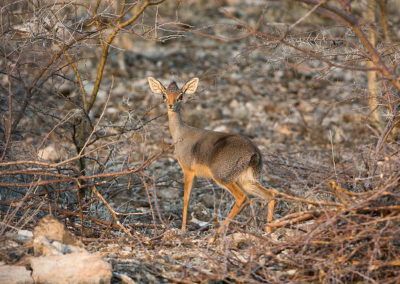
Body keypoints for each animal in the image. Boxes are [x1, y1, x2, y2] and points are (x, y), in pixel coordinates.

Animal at [148, 77, 276, 237]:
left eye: (181, 96)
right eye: (164, 95)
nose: (171, 106)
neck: (181, 134)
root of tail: (254, 152)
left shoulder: (187, 170)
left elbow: (186, 198)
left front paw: (182, 229)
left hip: (223, 177)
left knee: (242, 197)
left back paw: (216, 234)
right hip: (247, 181)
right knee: (271, 194)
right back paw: (268, 231)